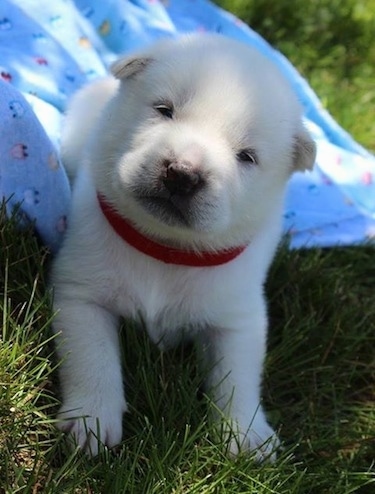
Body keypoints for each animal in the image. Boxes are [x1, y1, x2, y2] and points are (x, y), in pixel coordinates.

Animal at [51, 33, 318, 460]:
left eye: (247, 156)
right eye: (164, 110)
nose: (182, 174)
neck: (165, 247)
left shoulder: (237, 315)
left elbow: (238, 374)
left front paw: (245, 434)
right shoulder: (81, 293)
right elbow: (92, 355)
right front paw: (90, 420)